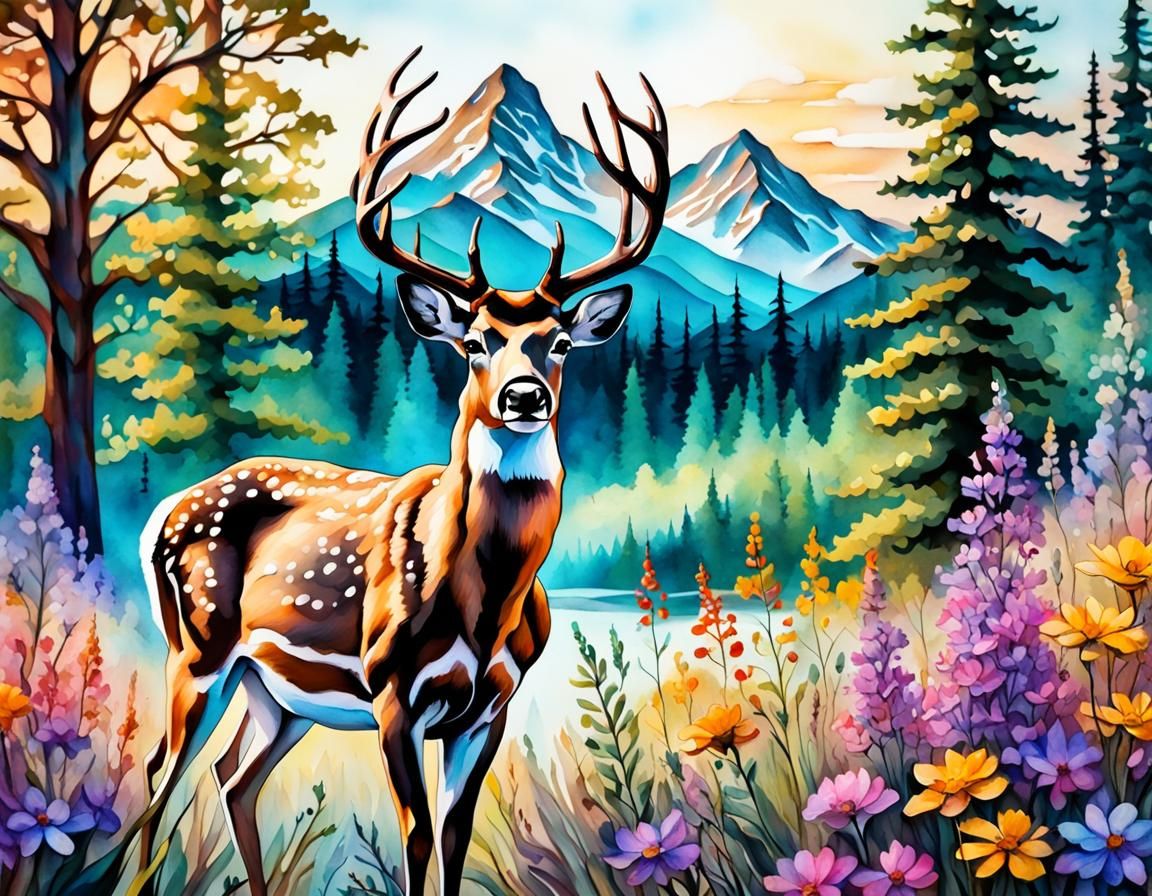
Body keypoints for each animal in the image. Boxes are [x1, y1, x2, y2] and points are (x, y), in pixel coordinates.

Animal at [130, 48, 670, 896]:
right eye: (475, 341)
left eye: (557, 340)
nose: (525, 396)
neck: (487, 603)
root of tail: (165, 514)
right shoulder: (392, 689)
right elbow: (415, 836)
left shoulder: (491, 704)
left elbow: (455, 835)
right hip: (198, 646)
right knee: (159, 774)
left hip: (278, 694)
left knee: (233, 778)